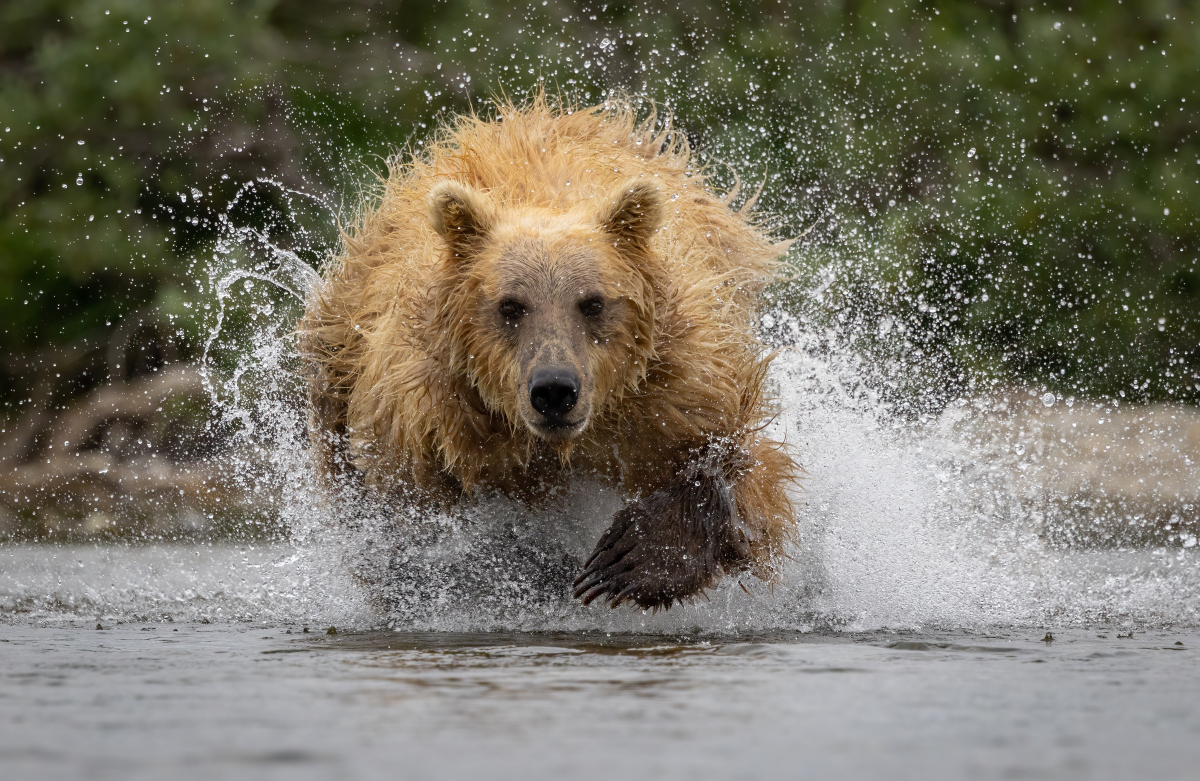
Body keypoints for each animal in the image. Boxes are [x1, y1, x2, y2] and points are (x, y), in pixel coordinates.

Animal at [302, 95, 796, 611]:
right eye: (510, 306)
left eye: (592, 302)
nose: (554, 390)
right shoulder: (428, 423)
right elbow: (412, 539)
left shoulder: (674, 388)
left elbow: (743, 469)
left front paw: (629, 558)